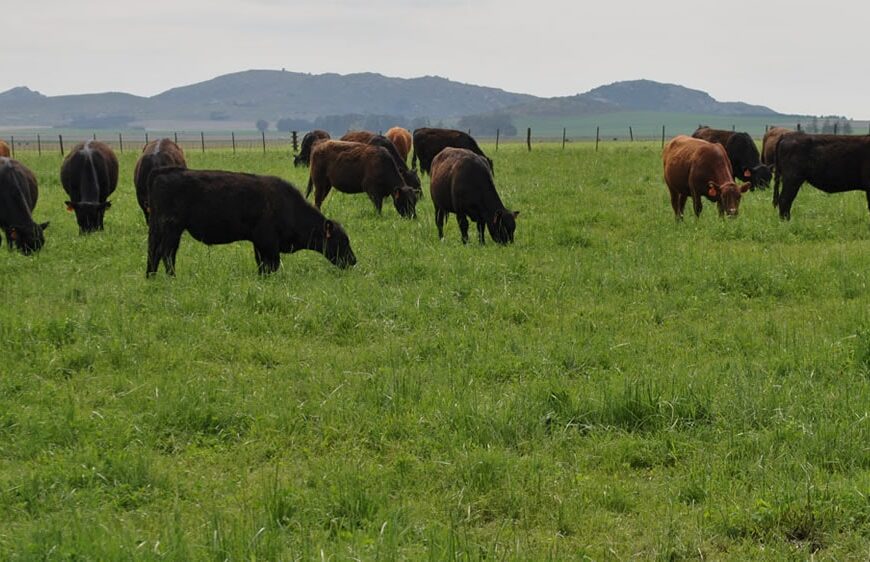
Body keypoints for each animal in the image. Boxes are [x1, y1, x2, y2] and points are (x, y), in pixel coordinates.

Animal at [146, 168, 358, 278]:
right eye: (341, 241)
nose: (353, 260)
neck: (288, 205)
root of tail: (162, 173)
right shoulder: (268, 243)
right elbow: (271, 264)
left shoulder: (258, 244)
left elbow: (262, 264)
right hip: (172, 229)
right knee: (166, 253)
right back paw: (171, 277)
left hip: (160, 230)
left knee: (154, 253)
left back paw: (152, 277)